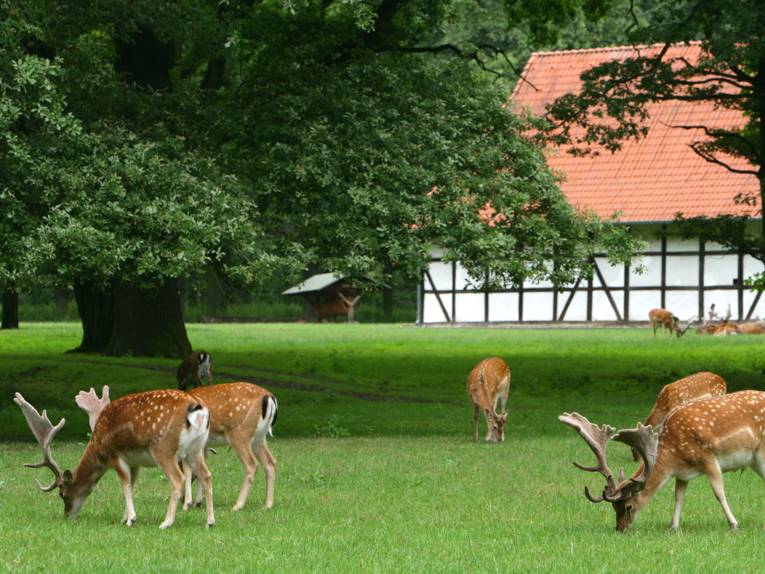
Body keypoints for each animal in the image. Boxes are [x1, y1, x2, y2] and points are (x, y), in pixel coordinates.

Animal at [12, 392, 215, 532]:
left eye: (62, 494)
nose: (67, 515)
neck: (98, 447)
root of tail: (196, 408)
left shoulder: (114, 454)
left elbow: (124, 484)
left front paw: (131, 519)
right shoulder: (134, 462)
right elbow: (131, 484)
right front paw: (124, 517)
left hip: (163, 447)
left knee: (178, 479)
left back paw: (166, 523)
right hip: (196, 448)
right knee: (206, 475)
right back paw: (210, 521)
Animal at [74, 382, 278, 512]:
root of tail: (269, 397)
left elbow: (187, 471)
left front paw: (187, 503)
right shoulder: (200, 446)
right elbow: (199, 471)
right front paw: (196, 502)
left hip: (239, 433)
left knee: (252, 465)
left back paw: (238, 505)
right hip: (259, 437)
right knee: (270, 462)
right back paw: (267, 505)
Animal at [560, 390, 765, 532]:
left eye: (628, 506)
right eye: (613, 507)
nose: (620, 528)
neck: (674, 456)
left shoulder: (709, 459)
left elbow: (719, 493)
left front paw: (734, 524)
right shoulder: (683, 473)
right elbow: (678, 496)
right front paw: (673, 526)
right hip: (755, 460)